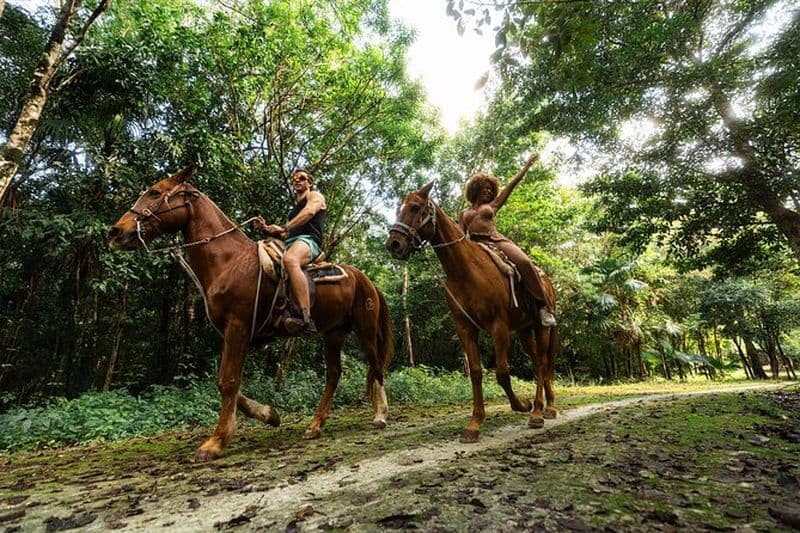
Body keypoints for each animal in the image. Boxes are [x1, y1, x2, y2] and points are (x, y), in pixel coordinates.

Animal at [108, 165, 394, 461]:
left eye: (154, 192)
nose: (115, 232)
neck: (228, 261)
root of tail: (366, 280)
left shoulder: (238, 327)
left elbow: (228, 381)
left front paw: (216, 442)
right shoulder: (230, 332)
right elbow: (224, 381)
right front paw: (269, 414)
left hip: (364, 328)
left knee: (375, 365)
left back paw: (380, 415)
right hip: (333, 333)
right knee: (334, 374)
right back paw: (315, 425)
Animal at [385, 181, 558, 442]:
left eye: (415, 208)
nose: (394, 244)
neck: (465, 270)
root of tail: (546, 280)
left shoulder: (498, 326)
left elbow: (502, 372)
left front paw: (522, 404)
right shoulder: (465, 327)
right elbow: (476, 372)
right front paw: (474, 423)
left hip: (541, 327)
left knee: (542, 363)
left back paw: (538, 411)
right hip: (525, 331)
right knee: (539, 360)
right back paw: (547, 407)